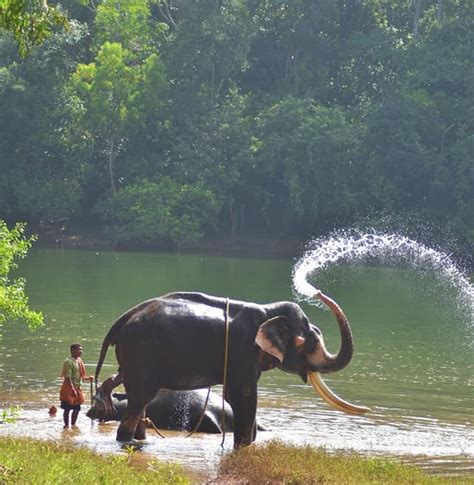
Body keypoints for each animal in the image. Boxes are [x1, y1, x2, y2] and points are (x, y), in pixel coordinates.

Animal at [92, 290, 366, 448]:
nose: (318, 293)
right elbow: (242, 396)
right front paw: (243, 448)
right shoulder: (243, 352)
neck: (267, 311)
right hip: (140, 354)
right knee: (139, 399)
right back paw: (127, 441)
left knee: (139, 401)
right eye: (308, 342)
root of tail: (121, 321)